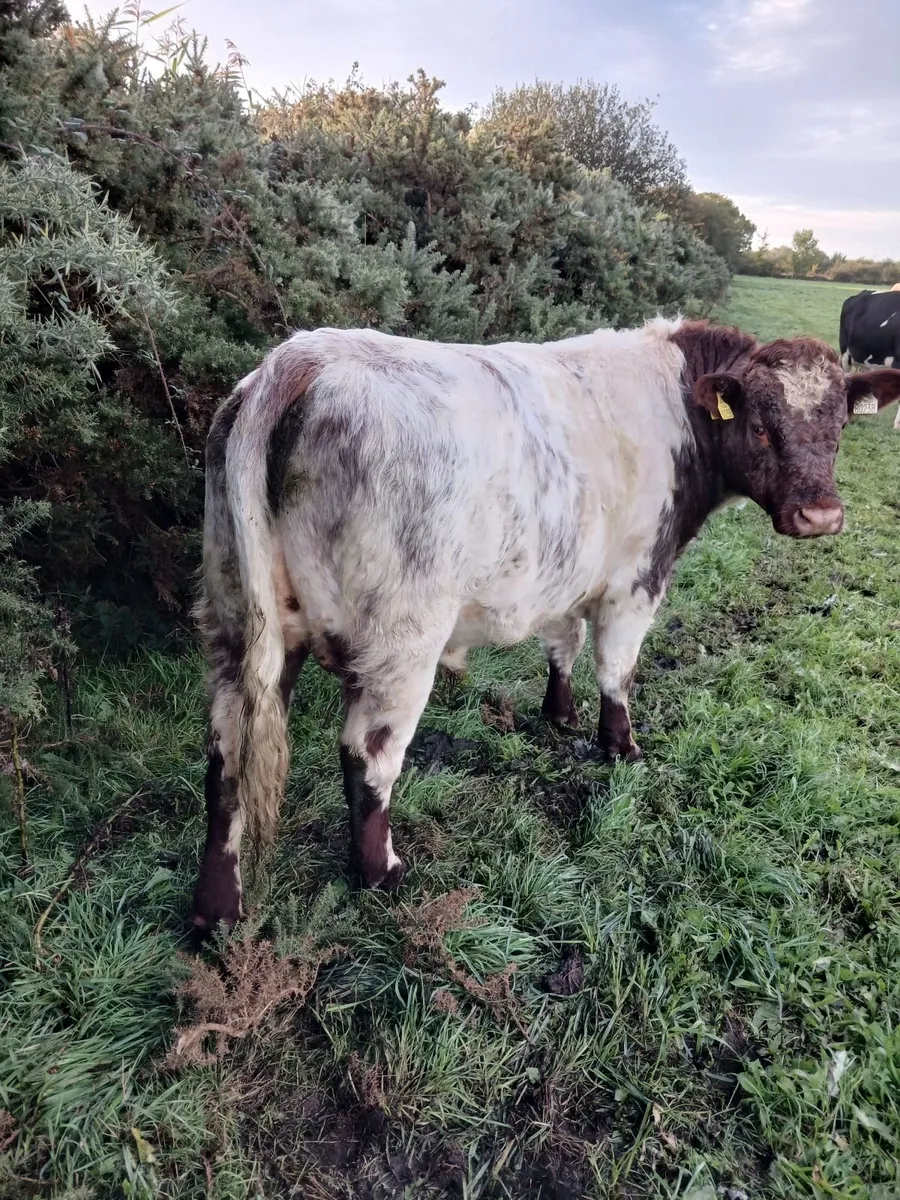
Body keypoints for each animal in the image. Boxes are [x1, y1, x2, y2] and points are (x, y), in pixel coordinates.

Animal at [190, 317, 900, 930]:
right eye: (759, 425)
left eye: (839, 423)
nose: (820, 516)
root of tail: (303, 359)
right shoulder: (636, 581)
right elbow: (616, 668)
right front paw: (620, 746)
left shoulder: (568, 575)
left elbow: (564, 642)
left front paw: (559, 713)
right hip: (400, 640)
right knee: (368, 757)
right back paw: (383, 873)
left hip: (235, 619)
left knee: (226, 760)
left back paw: (216, 912)